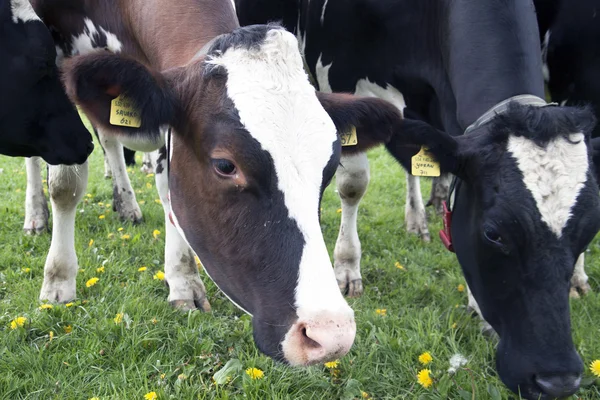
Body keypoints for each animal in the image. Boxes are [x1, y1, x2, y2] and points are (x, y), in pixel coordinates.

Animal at [27, 0, 418, 368]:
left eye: (331, 166)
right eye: (226, 165)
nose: (330, 333)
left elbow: (168, 188)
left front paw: (182, 280)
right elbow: (65, 182)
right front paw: (59, 281)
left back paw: (125, 204)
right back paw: (36, 215)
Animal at [237, 0, 600, 396]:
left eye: (590, 230)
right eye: (493, 233)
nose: (558, 381)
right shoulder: (338, 71)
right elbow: (353, 183)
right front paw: (346, 267)